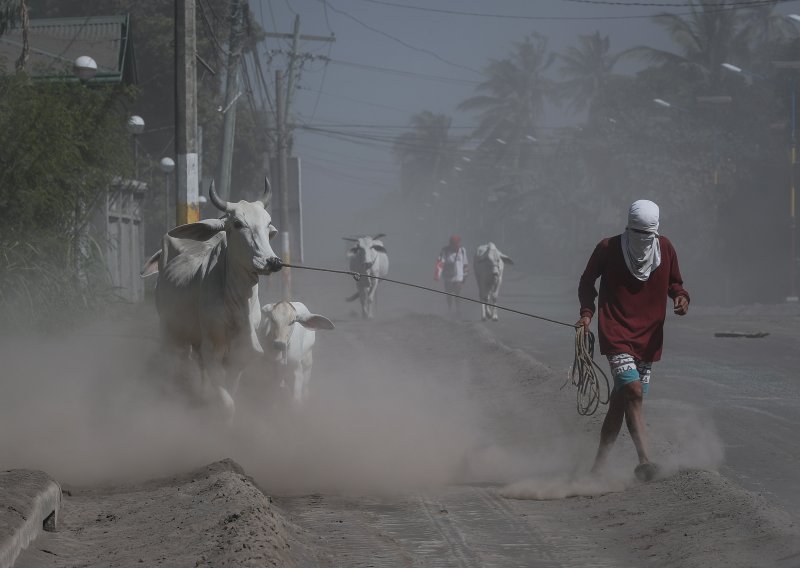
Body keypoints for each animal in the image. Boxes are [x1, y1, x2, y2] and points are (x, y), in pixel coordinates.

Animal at [140, 179, 282, 422]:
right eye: (238, 223)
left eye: (268, 223)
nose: (272, 261)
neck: (238, 302)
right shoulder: (212, 350)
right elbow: (227, 404)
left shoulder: (239, 355)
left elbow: (231, 391)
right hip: (170, 331)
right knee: (175, 363)